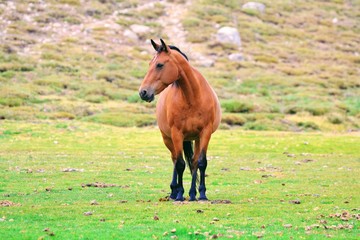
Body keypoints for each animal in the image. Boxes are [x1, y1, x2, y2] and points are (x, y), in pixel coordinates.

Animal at [139, 39, 221, 201]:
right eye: (150, 64)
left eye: (159, 65)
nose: (143, 92)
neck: (192, 98)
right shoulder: (177, 133)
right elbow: (180, 164)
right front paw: (179, 194)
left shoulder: (205, 132)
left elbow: (201, 162)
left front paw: (201, 194)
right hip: (168, 138)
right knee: (175, 159)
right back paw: (174, 191)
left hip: (195, 138)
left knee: (193, 162)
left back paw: (193, 193)